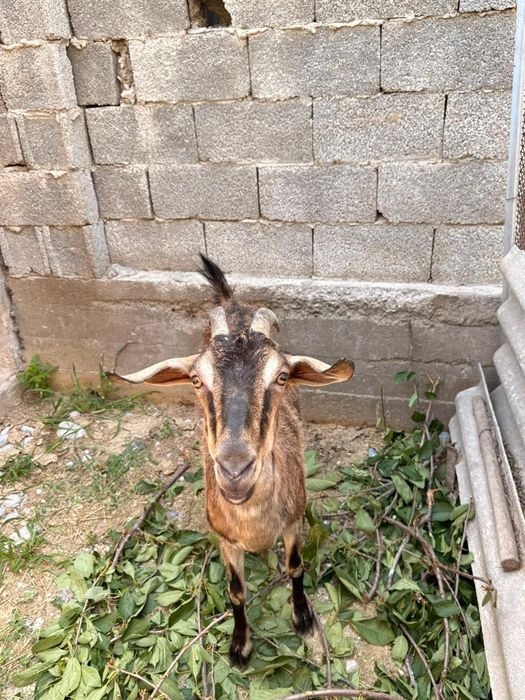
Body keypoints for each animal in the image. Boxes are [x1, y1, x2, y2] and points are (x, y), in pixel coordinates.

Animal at [107, 256, 354, 667]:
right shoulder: (225, 540)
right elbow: (236, 590)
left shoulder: (293, 521)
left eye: (281, 376)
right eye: (196, 380)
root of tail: (231, 302)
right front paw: (240, 647)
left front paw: (304, 620)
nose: (235, 470)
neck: (254, 525)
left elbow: (296, 566)